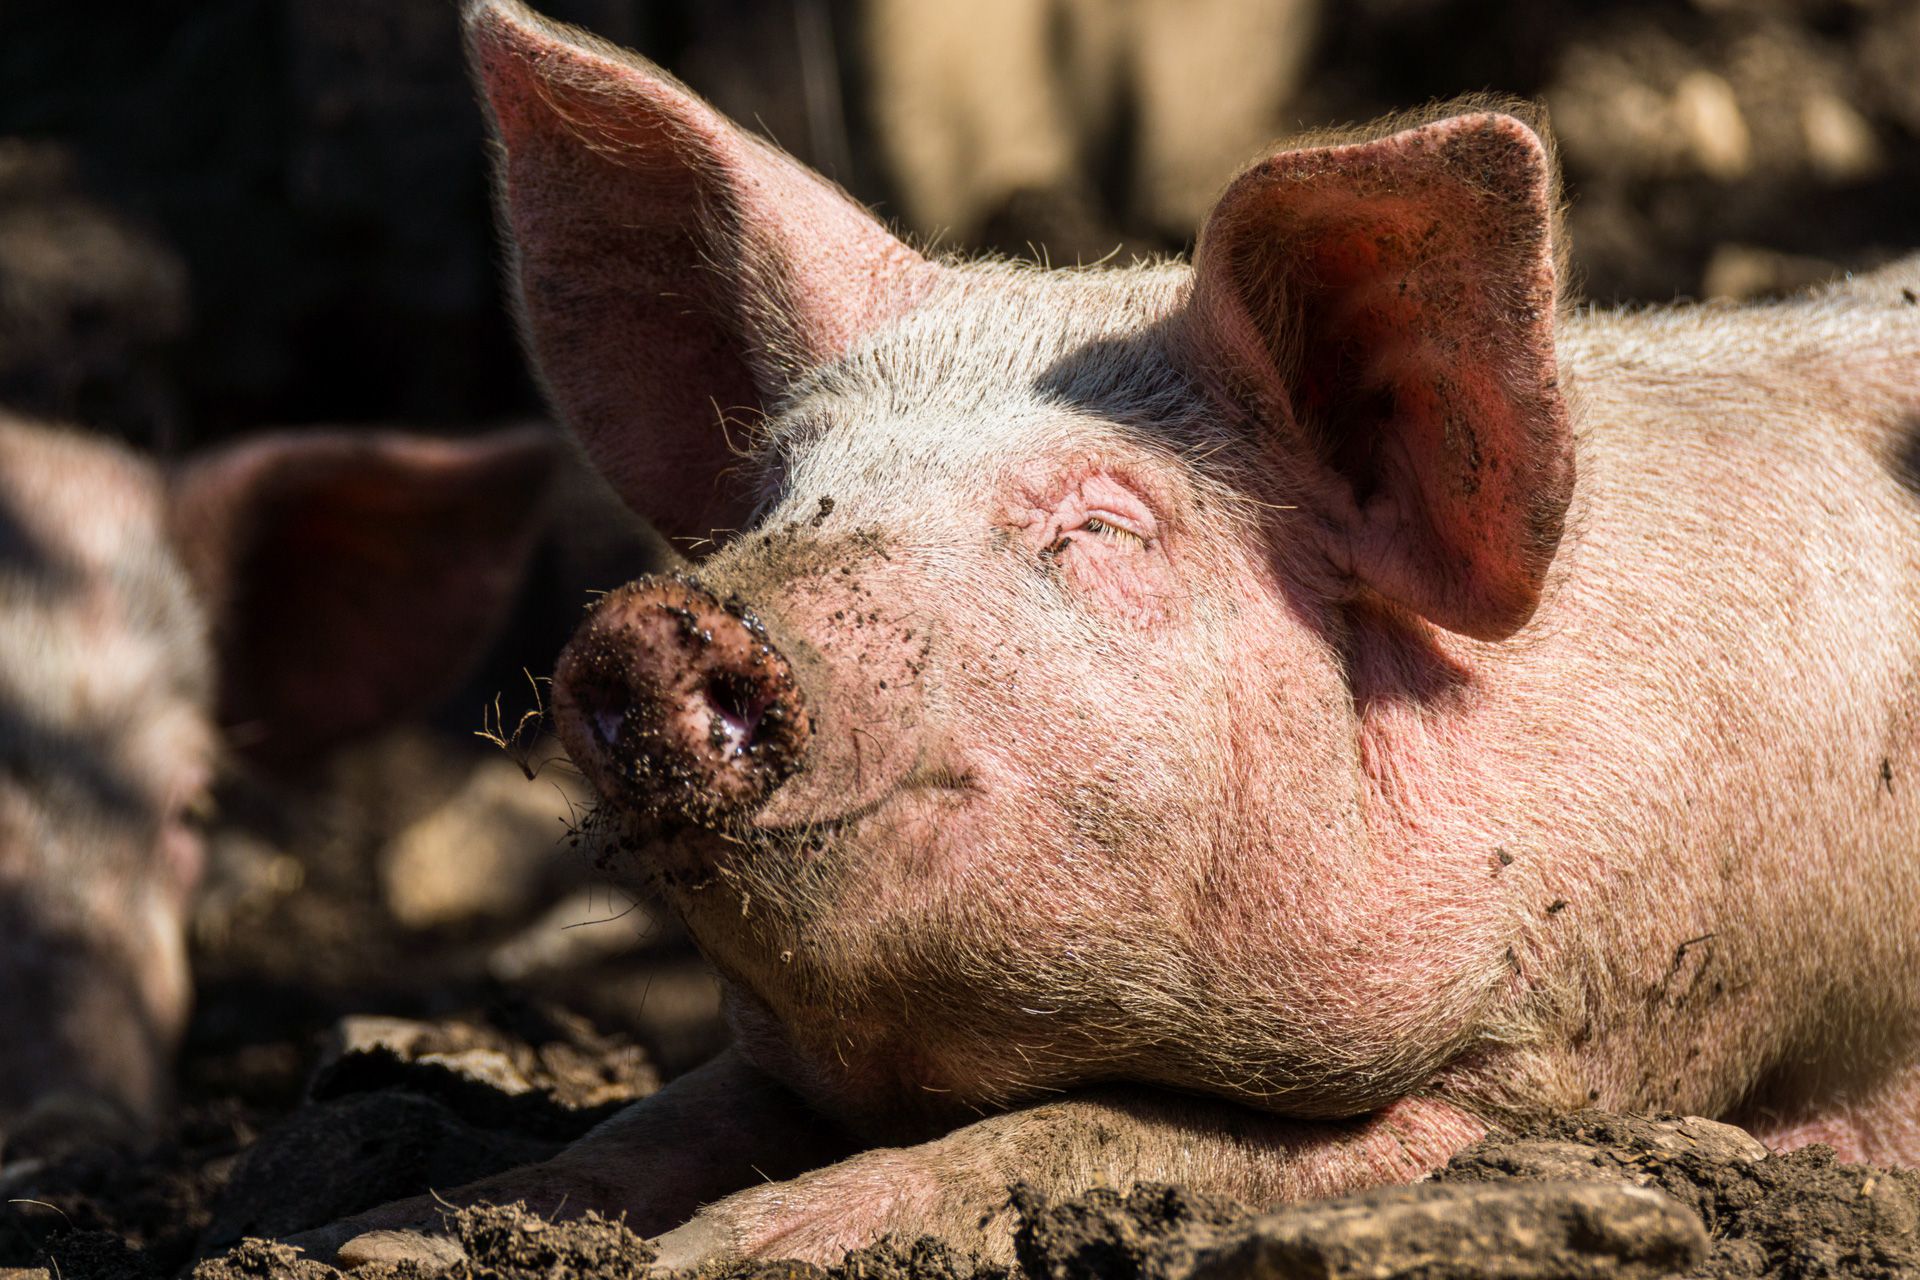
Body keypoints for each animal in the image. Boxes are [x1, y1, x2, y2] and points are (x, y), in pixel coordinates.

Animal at [295, 0, 1920, 1258]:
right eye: (782, 483)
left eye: (1098, 527)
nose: (665, 623)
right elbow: (641, 1127)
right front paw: (368, 1238)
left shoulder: (1570, 1067)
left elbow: (1080, 1135)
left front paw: (724, 1251)